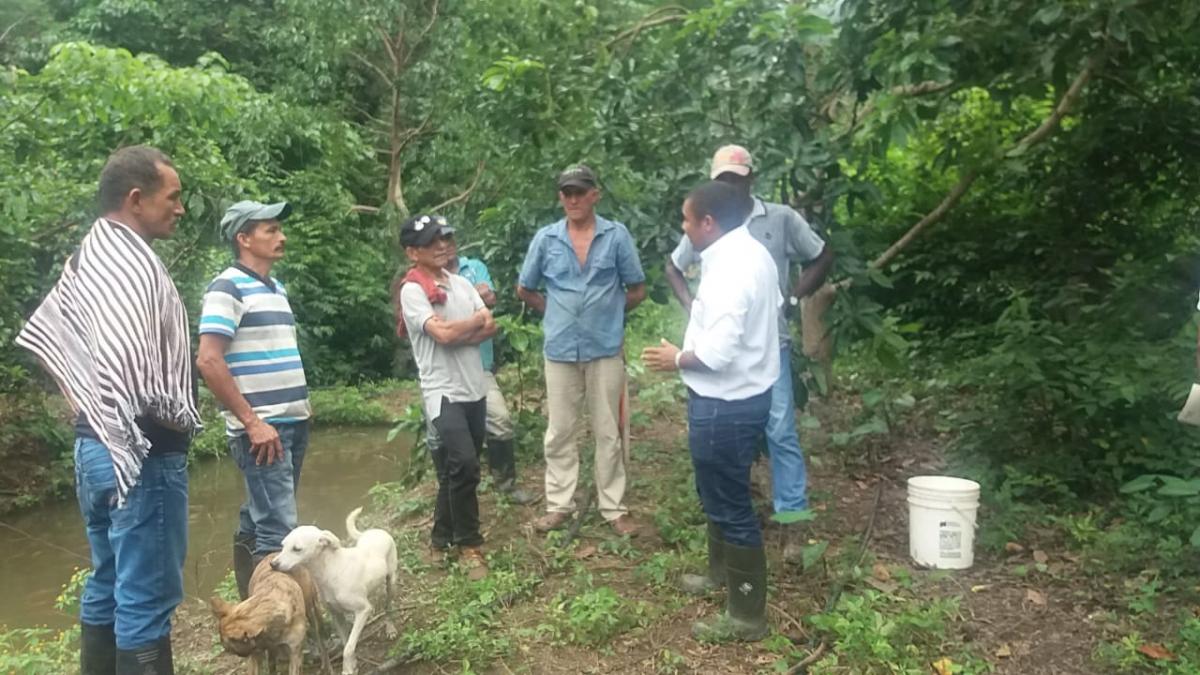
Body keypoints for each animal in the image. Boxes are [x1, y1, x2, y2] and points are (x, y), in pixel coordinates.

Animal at [274, 506, 400, 667]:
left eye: (297, 549)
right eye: (282, 546)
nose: (272, 564)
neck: (331, 569)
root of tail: (374, 531)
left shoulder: (363, 610)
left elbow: (349, 648)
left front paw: (347, 668)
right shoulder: (336, 615)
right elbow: (346, 643)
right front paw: (352, 665)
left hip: (391, 582)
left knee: (388, 607)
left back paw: (390, 627)